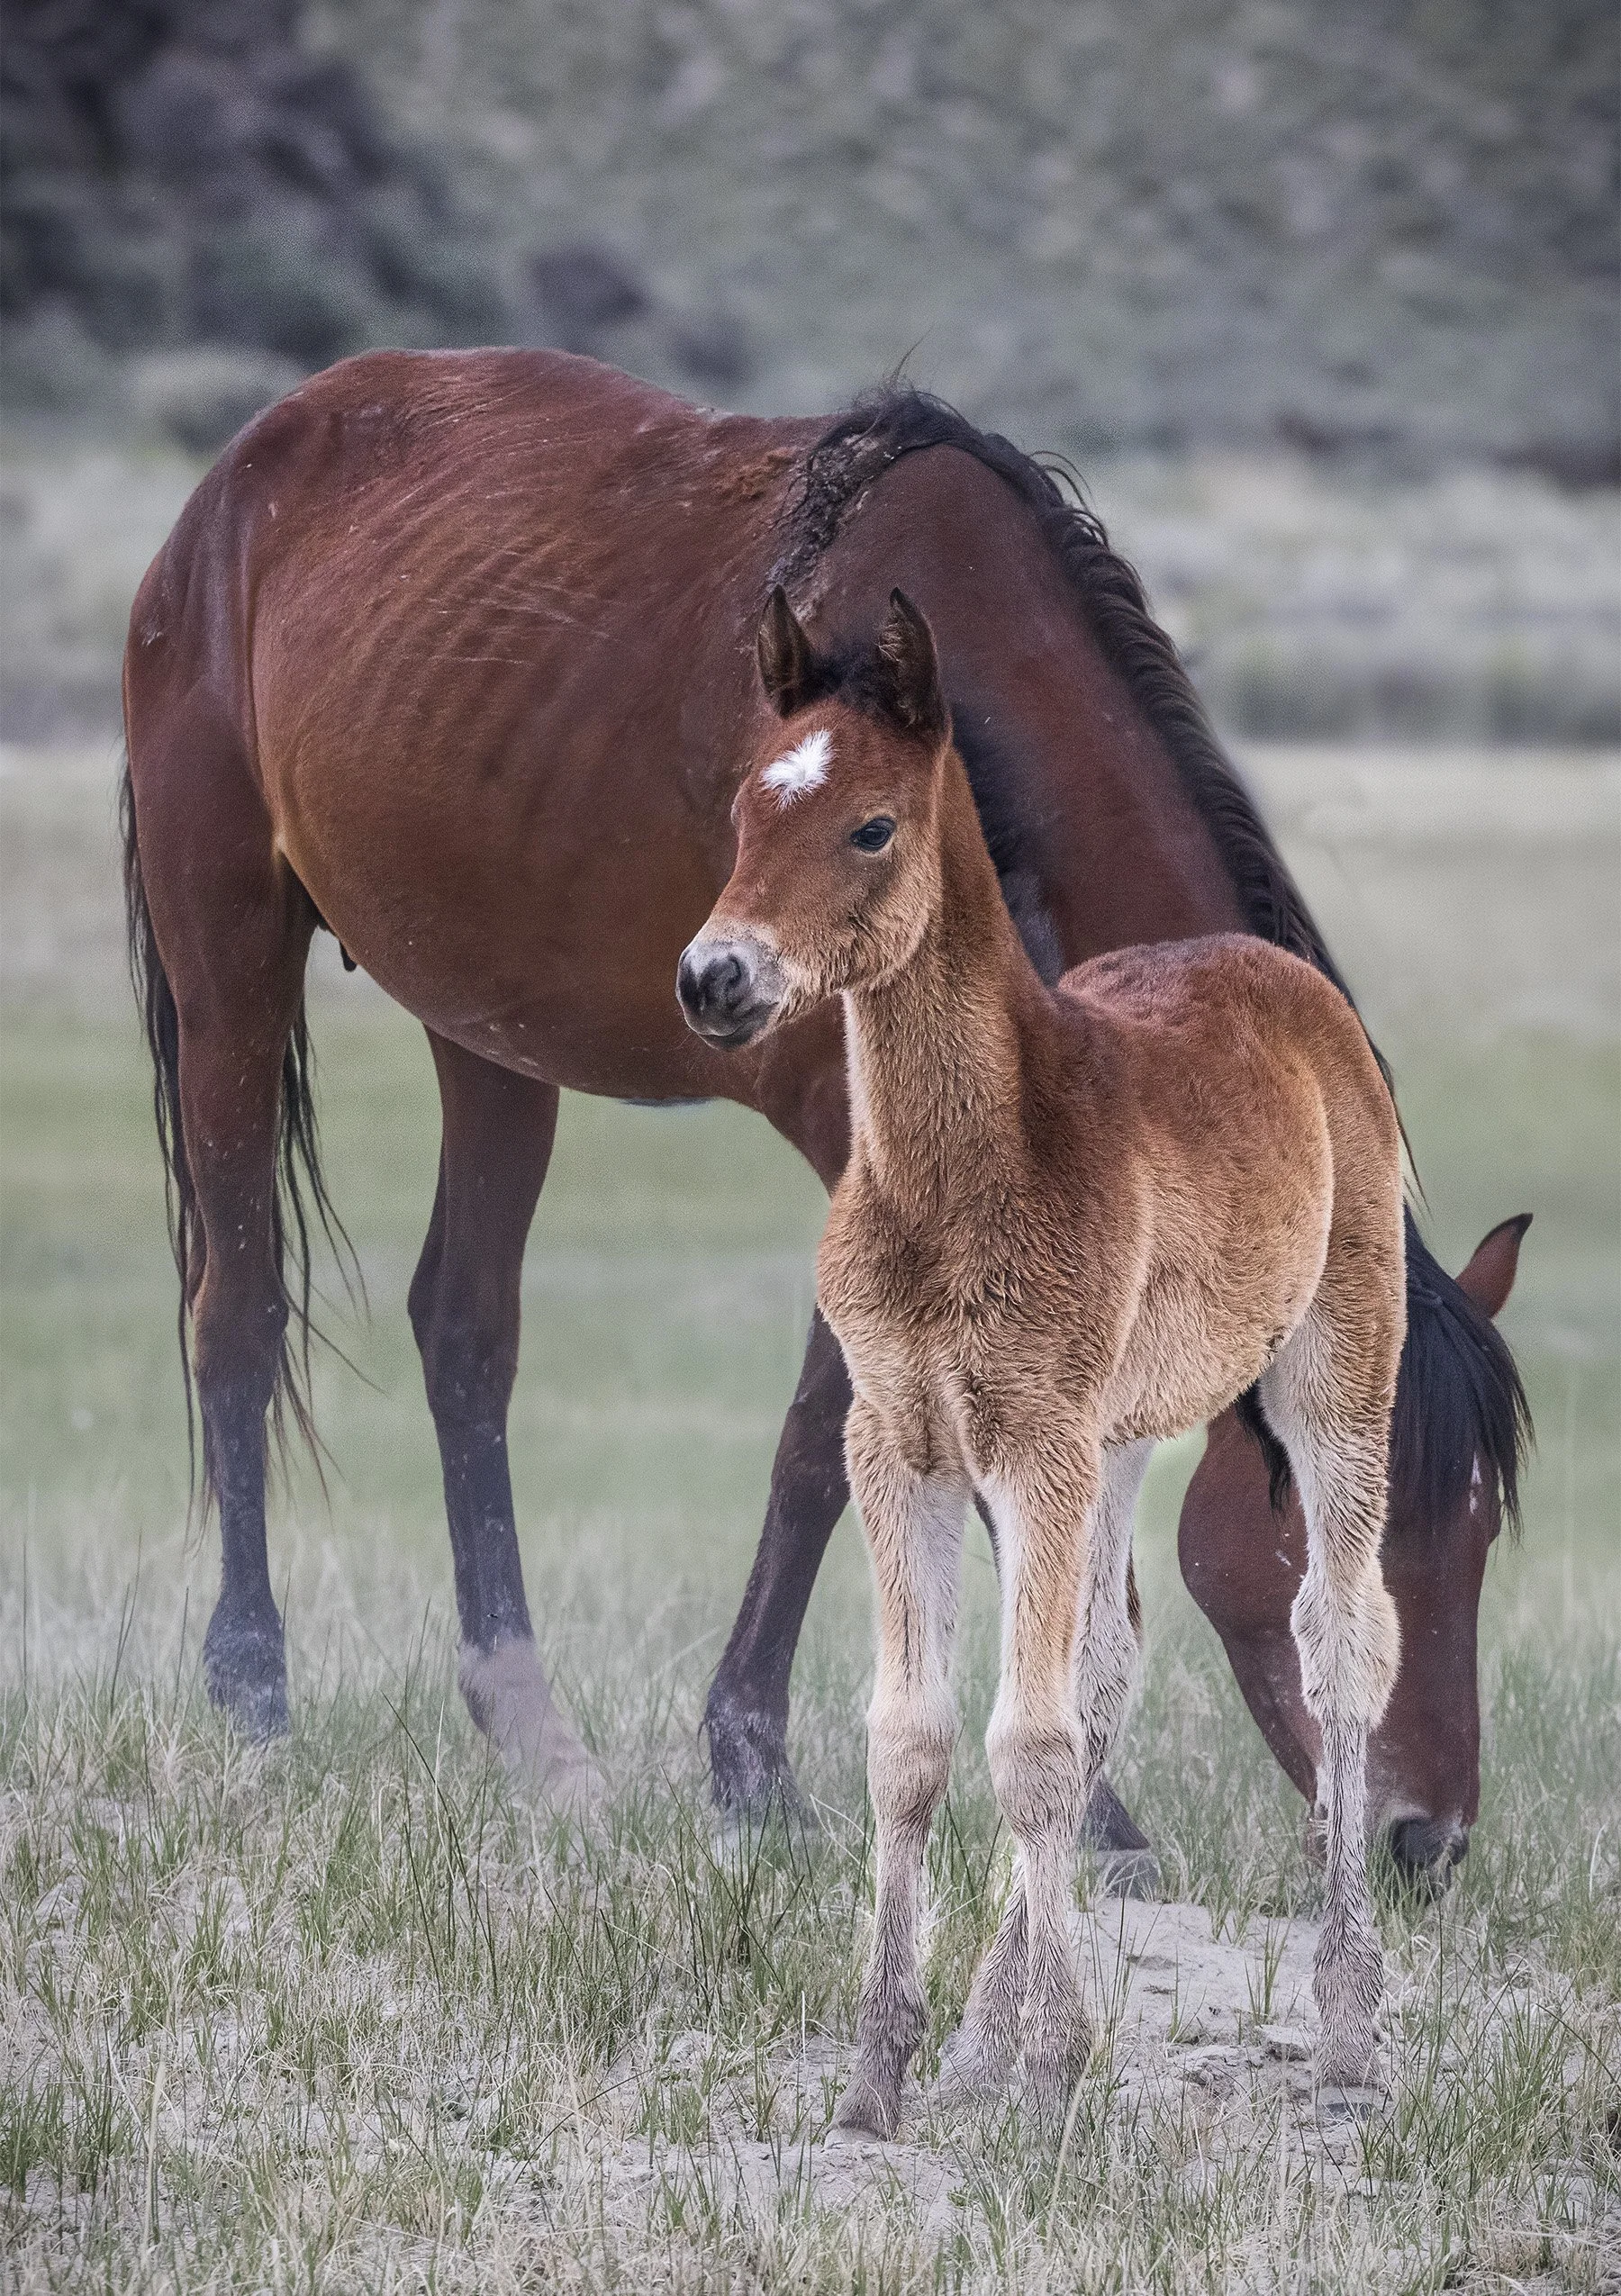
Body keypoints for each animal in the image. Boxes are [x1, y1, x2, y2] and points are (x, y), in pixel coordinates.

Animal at [119, 351, 1529, 1866]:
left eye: (1480, 1533)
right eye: (1338, 1521)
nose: (1428, 1835)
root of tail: (232, 483)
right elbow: (836, 1441)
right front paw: (773, 1766)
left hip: (487, 1024)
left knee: (466, 1331)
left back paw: (535, 1730)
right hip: (229, 951)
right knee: (238, 1305)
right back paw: (252, 1688)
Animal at [678, 587, 1405, 2122]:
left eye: (872, 827)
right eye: (745, 805)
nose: (714, 978)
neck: (959, 1174)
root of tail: (1277, 973)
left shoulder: (1037, 1446)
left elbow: (1030, 1743)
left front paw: (1062, 2057)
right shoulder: (901, 1443)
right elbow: (915, 1740)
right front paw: (890, 2065)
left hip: (1334, 1370)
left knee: (1337, 1641)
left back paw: (1348, 2028)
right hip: (1123, 1432)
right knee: (1113, 1660)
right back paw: (983, 2028)